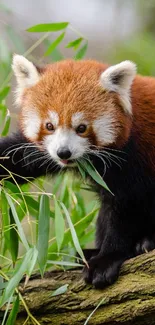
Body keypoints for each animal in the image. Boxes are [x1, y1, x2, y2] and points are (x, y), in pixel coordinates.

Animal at [0, 53, 155, 288]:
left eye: (81, 128)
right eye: (49, 126)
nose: (63, 152)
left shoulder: (134, 160)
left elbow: (123, 210)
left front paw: (107, 259)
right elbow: (15, 158)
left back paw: (146, 242)